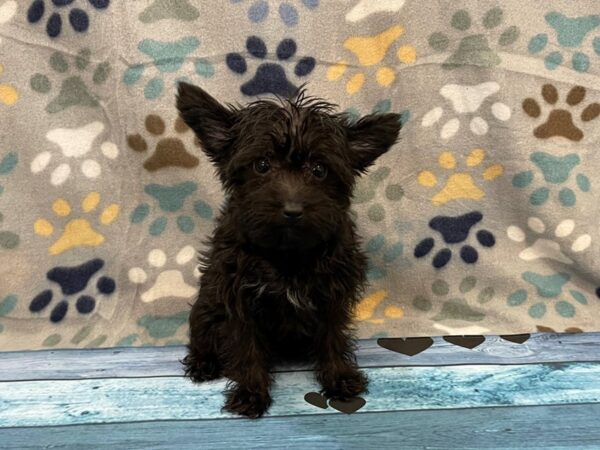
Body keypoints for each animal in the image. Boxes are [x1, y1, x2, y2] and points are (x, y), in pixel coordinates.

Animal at [178, 81, 404, 418]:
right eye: (261, 165)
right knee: (202, 337)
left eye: (320, 170)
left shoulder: (333, 294)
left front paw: (339, 378)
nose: (293, 210)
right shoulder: (238, 298)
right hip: (206, 307)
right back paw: (203, 364)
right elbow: (246, 347)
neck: (288, 254)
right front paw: (250, 393)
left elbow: (332, 338)